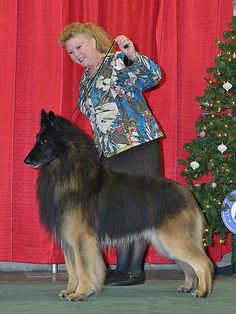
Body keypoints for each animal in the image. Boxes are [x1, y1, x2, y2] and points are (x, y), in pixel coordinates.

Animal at [24, 109, 214, 300]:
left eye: (44, 141)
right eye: (37, 138)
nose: (27, 160)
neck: (68, 171)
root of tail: (187, 194)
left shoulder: (81, 240)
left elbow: (83, 270)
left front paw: (80, 293)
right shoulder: (69, 242)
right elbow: (73, 271)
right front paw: (71, 290)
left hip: (174, 240)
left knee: (203, 263)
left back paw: (203, 291)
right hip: (165, 243)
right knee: (189, 266)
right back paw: (188, 286)